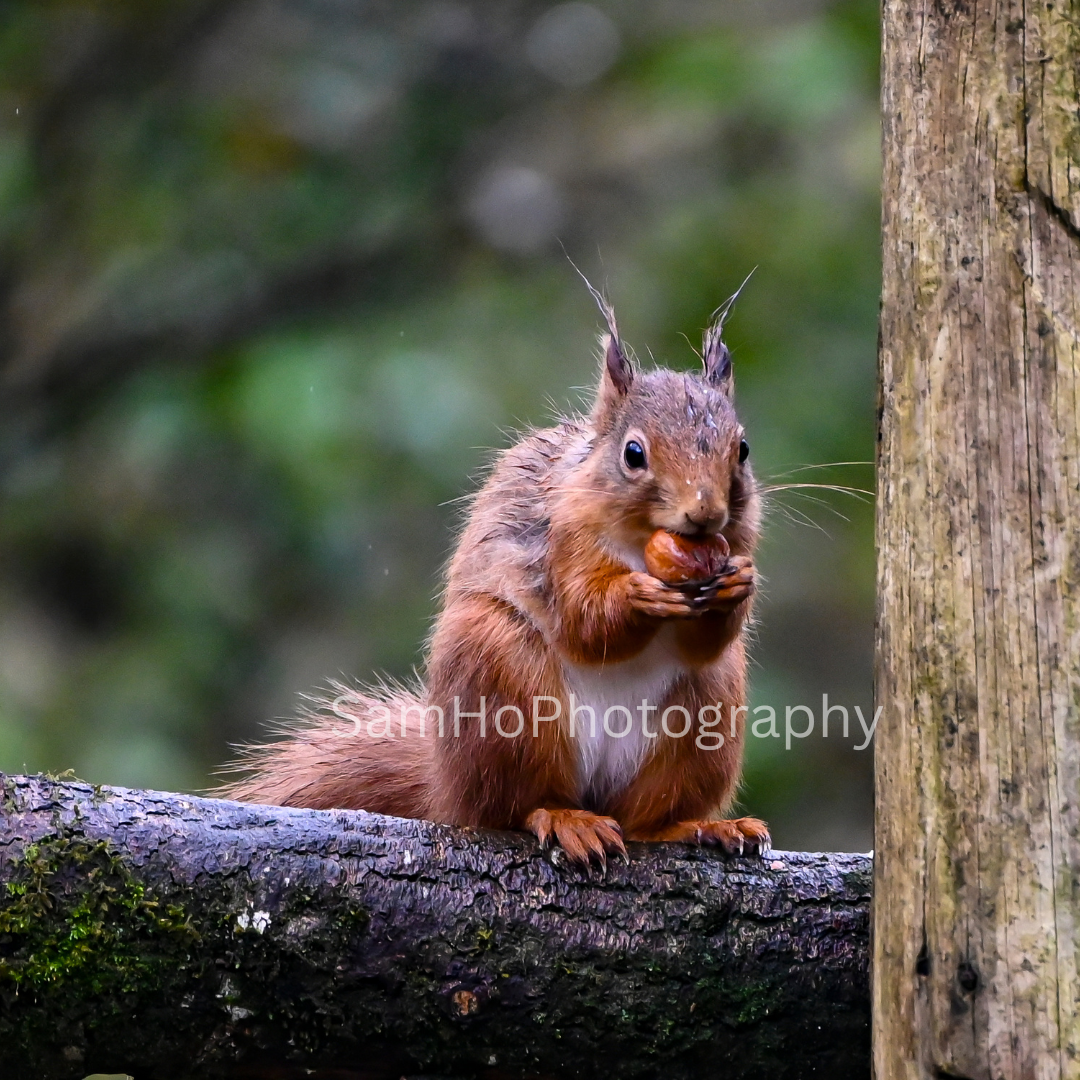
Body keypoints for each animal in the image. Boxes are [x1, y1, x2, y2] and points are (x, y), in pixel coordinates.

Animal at [221, 290, 770, 865]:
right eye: (633, 453)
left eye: (743, 449)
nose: (704, 514)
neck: (642, 543)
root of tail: (445, 786)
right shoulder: (558, 543)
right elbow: (584, 622)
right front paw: (639, 596)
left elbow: (707, 640)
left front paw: (737, 586)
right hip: (503, 681)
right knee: (512, 806)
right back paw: (564, 818)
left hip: (705, 715)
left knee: (646, 818)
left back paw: (696, 826)